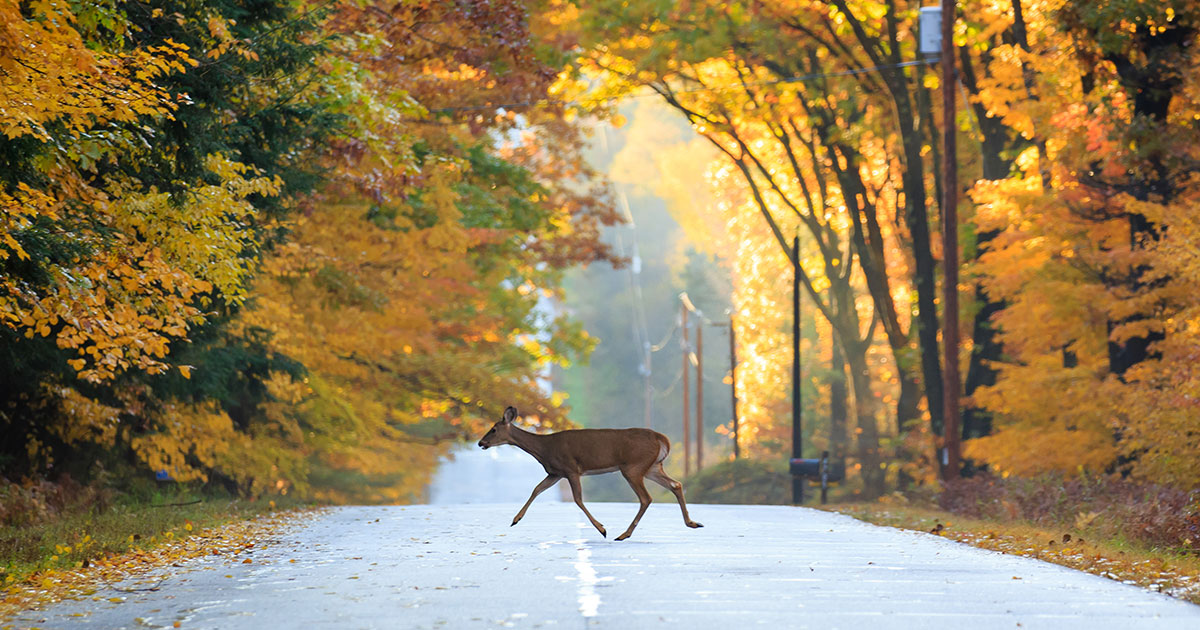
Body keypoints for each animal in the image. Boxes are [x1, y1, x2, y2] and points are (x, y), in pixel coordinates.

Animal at [477, 408, 700, 540]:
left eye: (494, 429)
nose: (481, 442)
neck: (544, 448)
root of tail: (662, 439)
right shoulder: (555, 473)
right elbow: (536, 489)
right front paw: (516, 519)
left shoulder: (570, 468)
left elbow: (577, 499)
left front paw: (602, 529)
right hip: (652, 467)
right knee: (676, 485)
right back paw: (692, 523)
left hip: (633, 466)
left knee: (646, 498)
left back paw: (623, 534)